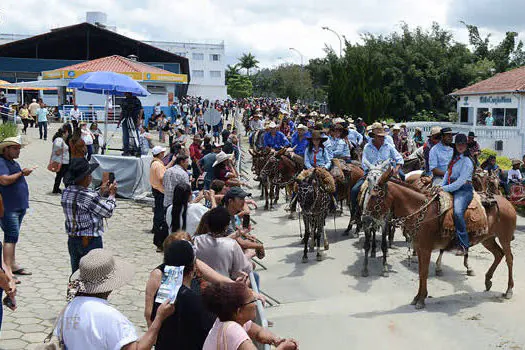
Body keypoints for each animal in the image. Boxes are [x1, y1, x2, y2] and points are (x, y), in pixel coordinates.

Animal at [362, 166, 512, 308]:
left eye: (375, 196)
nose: (365, 219)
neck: (422, 210)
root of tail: (507, 203)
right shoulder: (420, 248)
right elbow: (421, 272)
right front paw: (418, 297)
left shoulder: (426, 249)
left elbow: (424, 272)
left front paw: (421, 299)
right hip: (488, 239)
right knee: (499, 254)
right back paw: (488, 280)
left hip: (504, 237)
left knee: (509, 258)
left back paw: (508, 290)